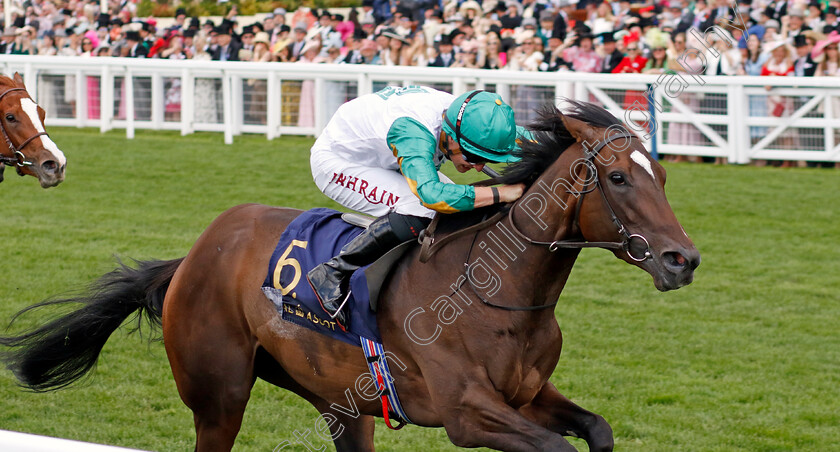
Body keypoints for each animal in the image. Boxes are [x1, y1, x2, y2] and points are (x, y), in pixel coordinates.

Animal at [1, 102, 704, 452]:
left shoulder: (529, 396)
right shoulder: (468, 413)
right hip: (218, 397)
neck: (494, 290)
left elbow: (598, 430)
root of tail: (195, 254)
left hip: (341, 402)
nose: (683, 260)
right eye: (618, 177)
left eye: (665, 175)